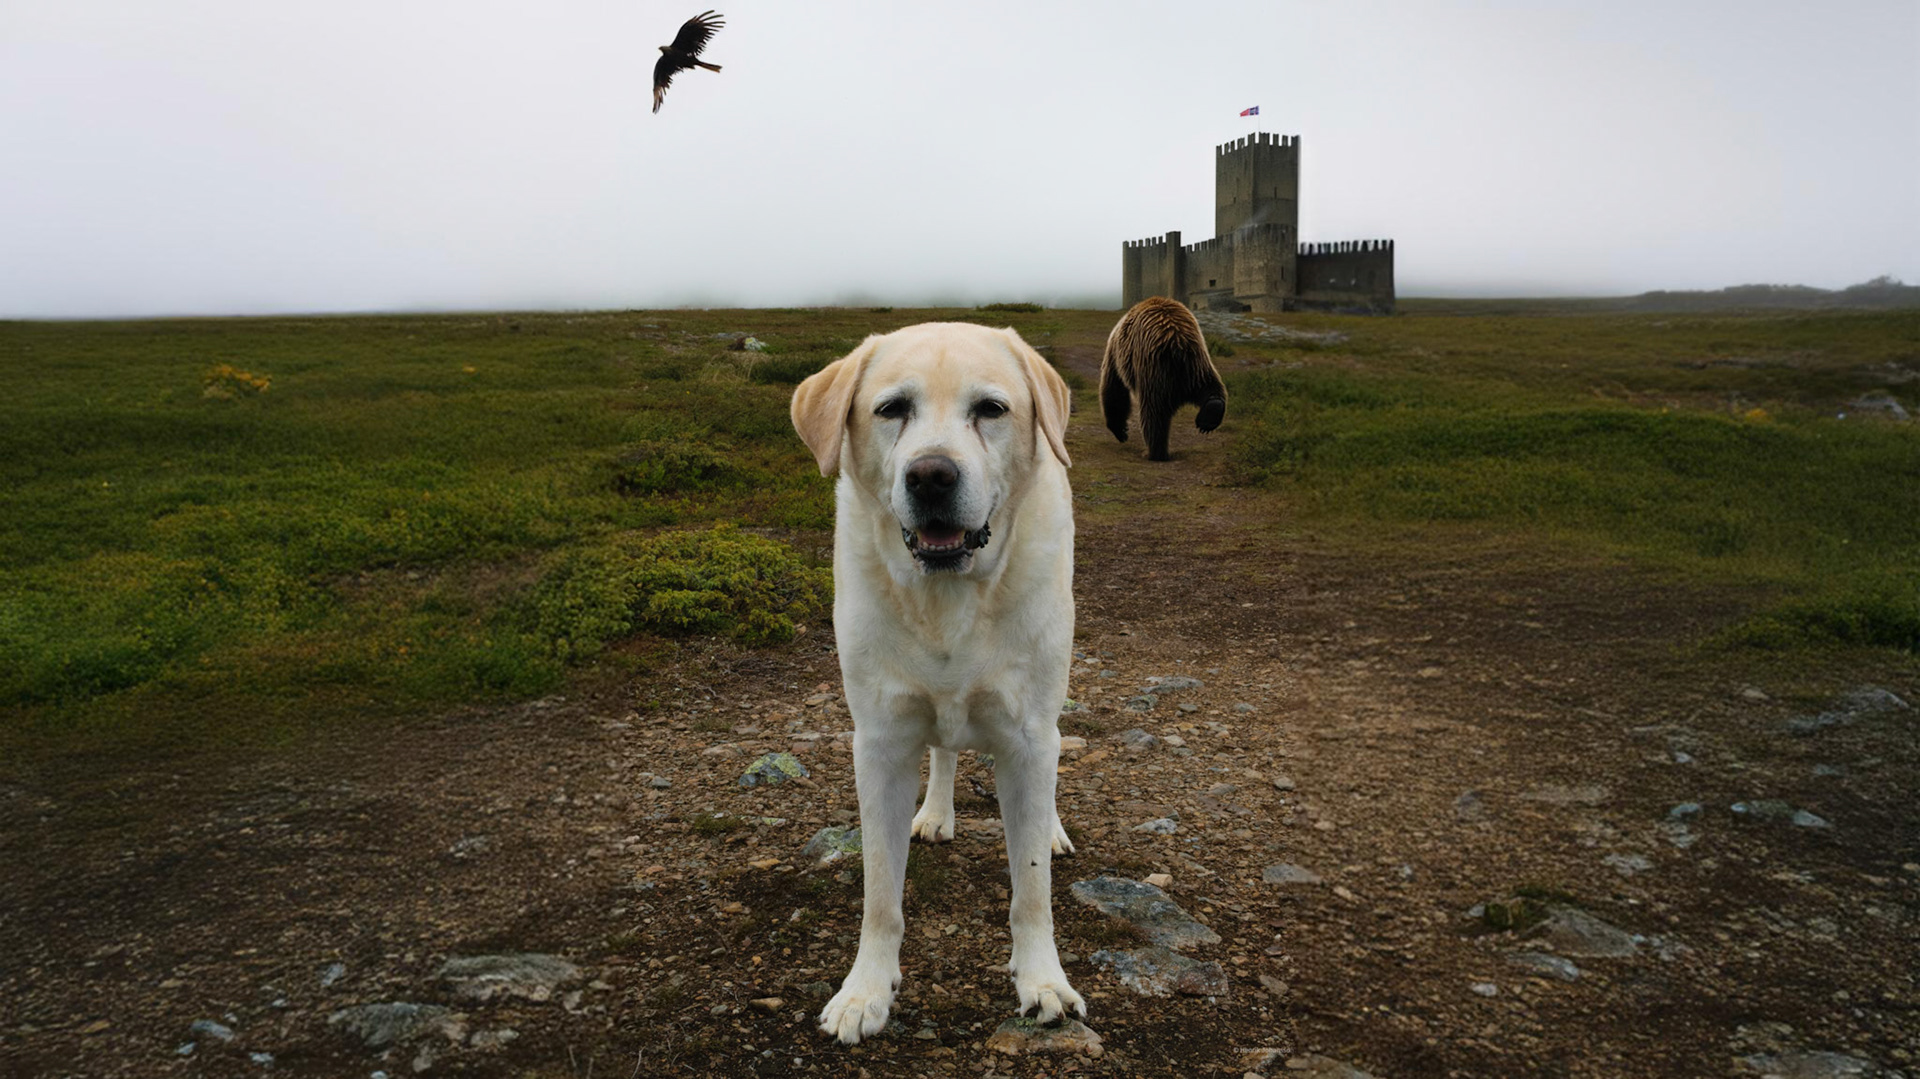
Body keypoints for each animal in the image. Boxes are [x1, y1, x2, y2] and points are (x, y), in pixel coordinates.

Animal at [1099, 297, 1228, 461]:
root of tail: (1177, 339)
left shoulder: (1116, 354)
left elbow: (1114, 388)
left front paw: (1120, 431)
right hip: (1197, 362)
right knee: (1209, 386)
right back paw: (1209, 416)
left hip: (1153, 368)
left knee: (1154, 412)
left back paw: (1154, 452)